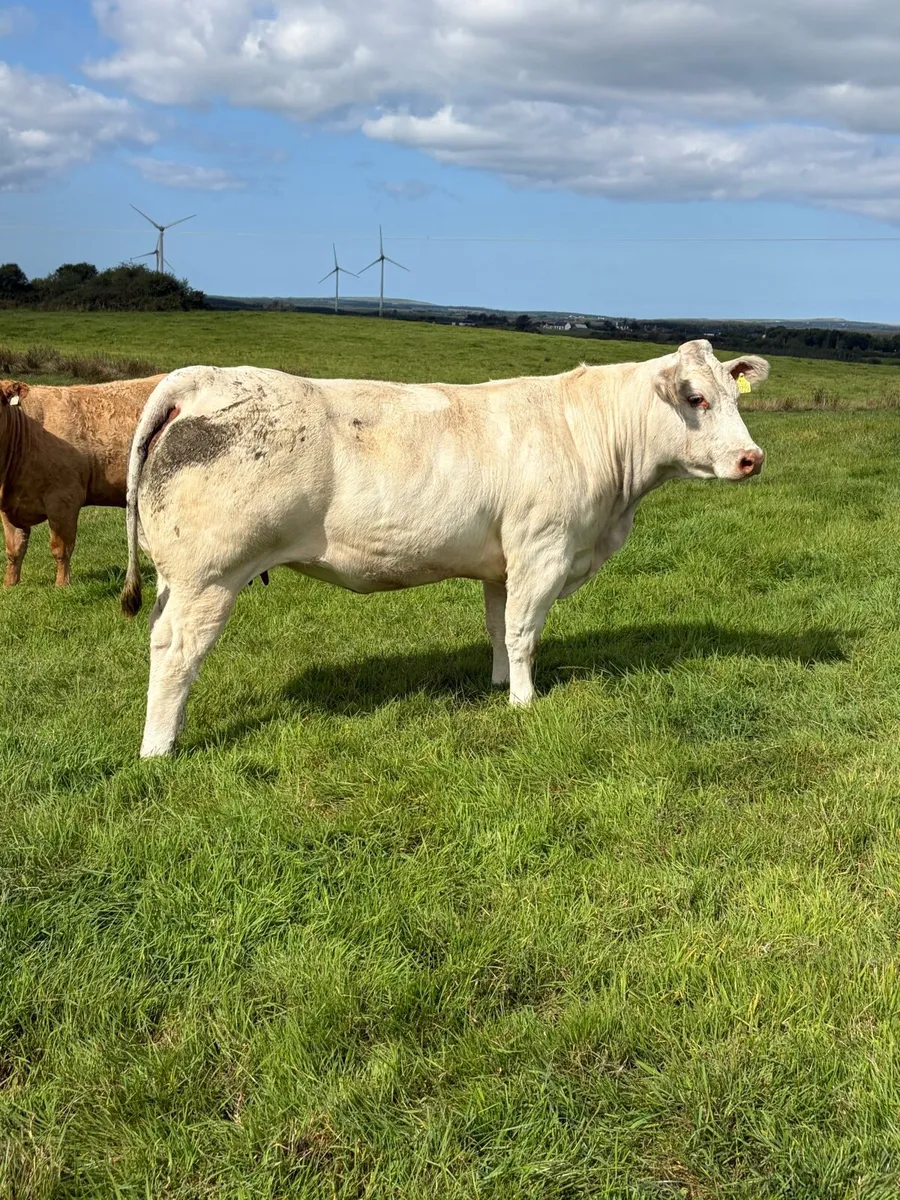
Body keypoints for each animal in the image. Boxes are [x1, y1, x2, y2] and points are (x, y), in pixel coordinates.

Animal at [0, 375, 165, 587]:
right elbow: (14, 549)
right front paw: (9, 585)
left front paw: (62, 585)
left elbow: (61, 548)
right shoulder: (9, 505)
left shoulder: (64, 499)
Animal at [121, 340, 768, 758]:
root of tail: (202, 378)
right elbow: (524, 631)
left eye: (734, 398)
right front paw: (524, 702)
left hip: (176, 578)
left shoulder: (503, 564)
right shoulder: (543, 550)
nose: (751, 458)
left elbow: (499, 626)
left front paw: (500, 684)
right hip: (210, 576)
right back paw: (159, 747)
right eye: (695, 399)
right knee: (176, 650)